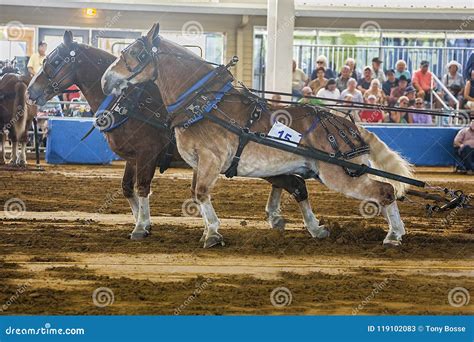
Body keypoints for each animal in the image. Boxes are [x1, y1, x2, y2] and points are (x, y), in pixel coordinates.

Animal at [102, 24, 412, 248]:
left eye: (136, 54)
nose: (106, 80)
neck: (203, 103)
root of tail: (349, 126)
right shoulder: (198, 162)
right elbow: (195, 193)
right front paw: (205, 231)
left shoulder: (211, 159)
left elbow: (200, 193)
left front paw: (213, 234)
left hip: (339, 174)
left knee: (385, 191)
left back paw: (393, 236)